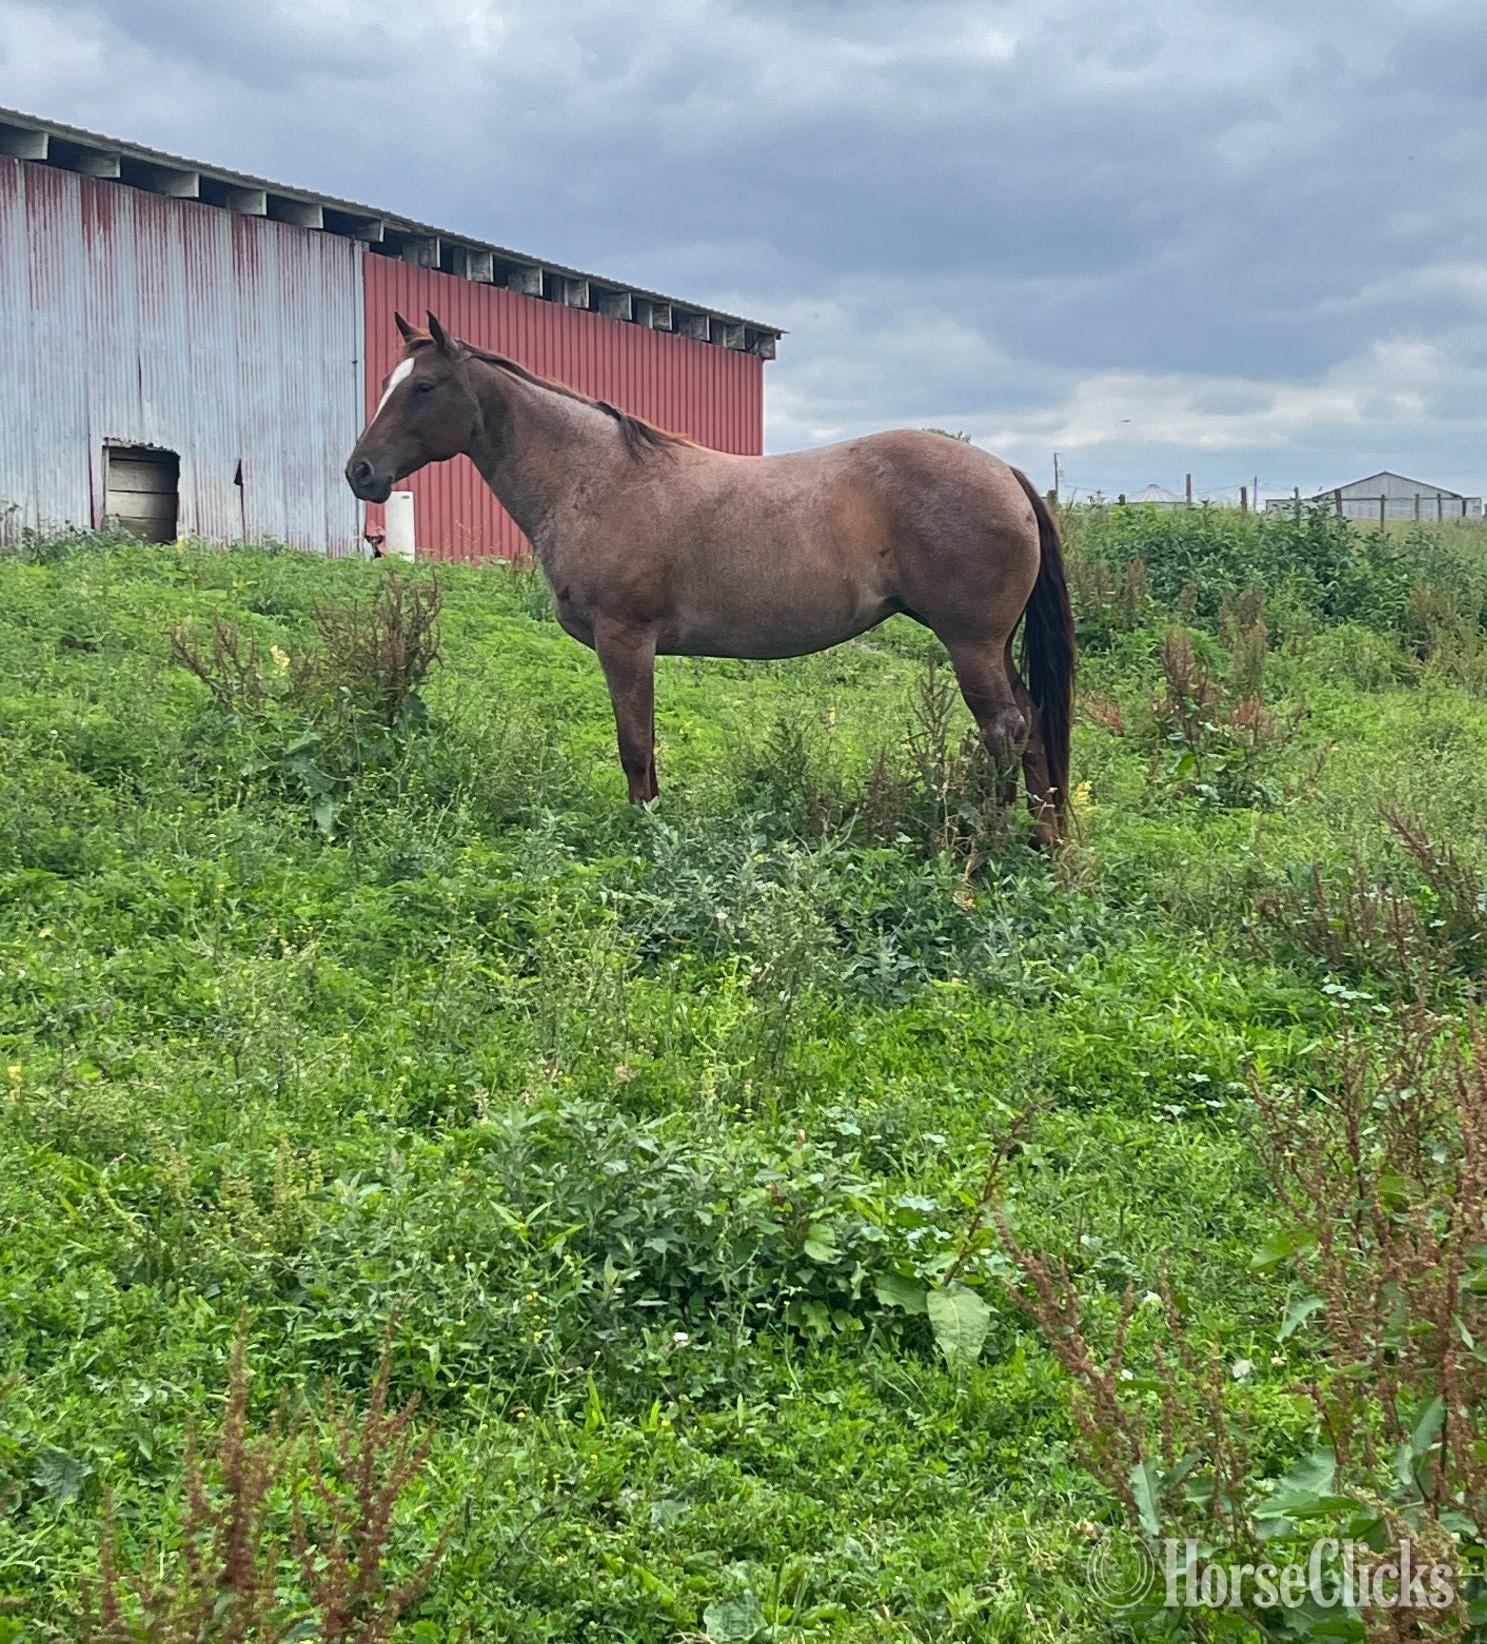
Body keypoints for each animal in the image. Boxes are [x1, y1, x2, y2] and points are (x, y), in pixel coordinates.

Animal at [345, 311, 1076, 841]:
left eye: (423, 387)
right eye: (385, 383)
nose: (360, 472)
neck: (597, 478)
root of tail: (1005, 472)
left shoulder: (625, 641)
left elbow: (635, 746)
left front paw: (646, 837)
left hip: (970, 644)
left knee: (1006, 730)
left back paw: (989, 845)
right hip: (990, 647)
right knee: (1035, 725)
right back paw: (1044, 844)